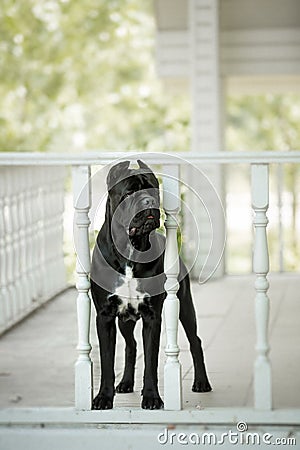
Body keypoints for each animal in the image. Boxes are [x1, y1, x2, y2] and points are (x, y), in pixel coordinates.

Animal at [89, 160, 211, 410]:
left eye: (153, 190)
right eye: (129, 193)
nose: (149, 202)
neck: (130, 249)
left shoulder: (152, 317)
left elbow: (151, 362)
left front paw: (152, 397)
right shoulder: (105, 316)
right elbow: (106, 362)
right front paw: (103, 397)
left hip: (185, 306)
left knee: (195, 341)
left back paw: (202, 382)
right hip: (125, 320)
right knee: (131, 346)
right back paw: (125, 383)